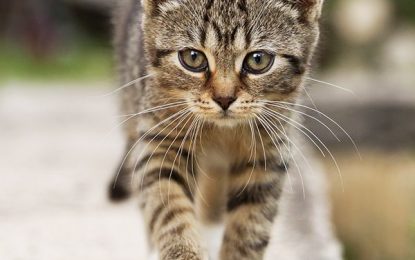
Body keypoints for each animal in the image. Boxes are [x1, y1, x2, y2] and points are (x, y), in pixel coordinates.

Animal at [109, 1, 342, 258]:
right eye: (192, 57)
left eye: (258, 60)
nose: (224, 98)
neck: (220, 132)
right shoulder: (160, 140)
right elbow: (168, 205)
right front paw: (184, 251)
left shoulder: (268, 154)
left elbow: (250, 225)